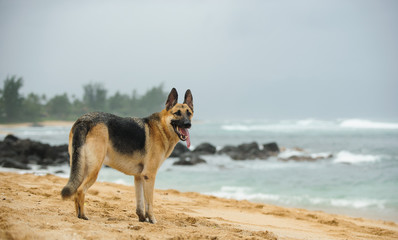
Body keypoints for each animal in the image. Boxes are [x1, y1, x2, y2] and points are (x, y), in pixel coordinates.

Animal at [60, 89, 193, 224]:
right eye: (177, 113)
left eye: (189, 113)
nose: (188, 124)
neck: (162, 127)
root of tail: (84, 120)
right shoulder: (149, 176)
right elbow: (149, 203)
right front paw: (152, 220)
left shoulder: (139, 177)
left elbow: (140, 203)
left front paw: (142, 219)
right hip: (93, 170)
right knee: (80, 191)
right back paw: (83, 216)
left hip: (80, 168)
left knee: (76, 191)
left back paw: (78, 216)